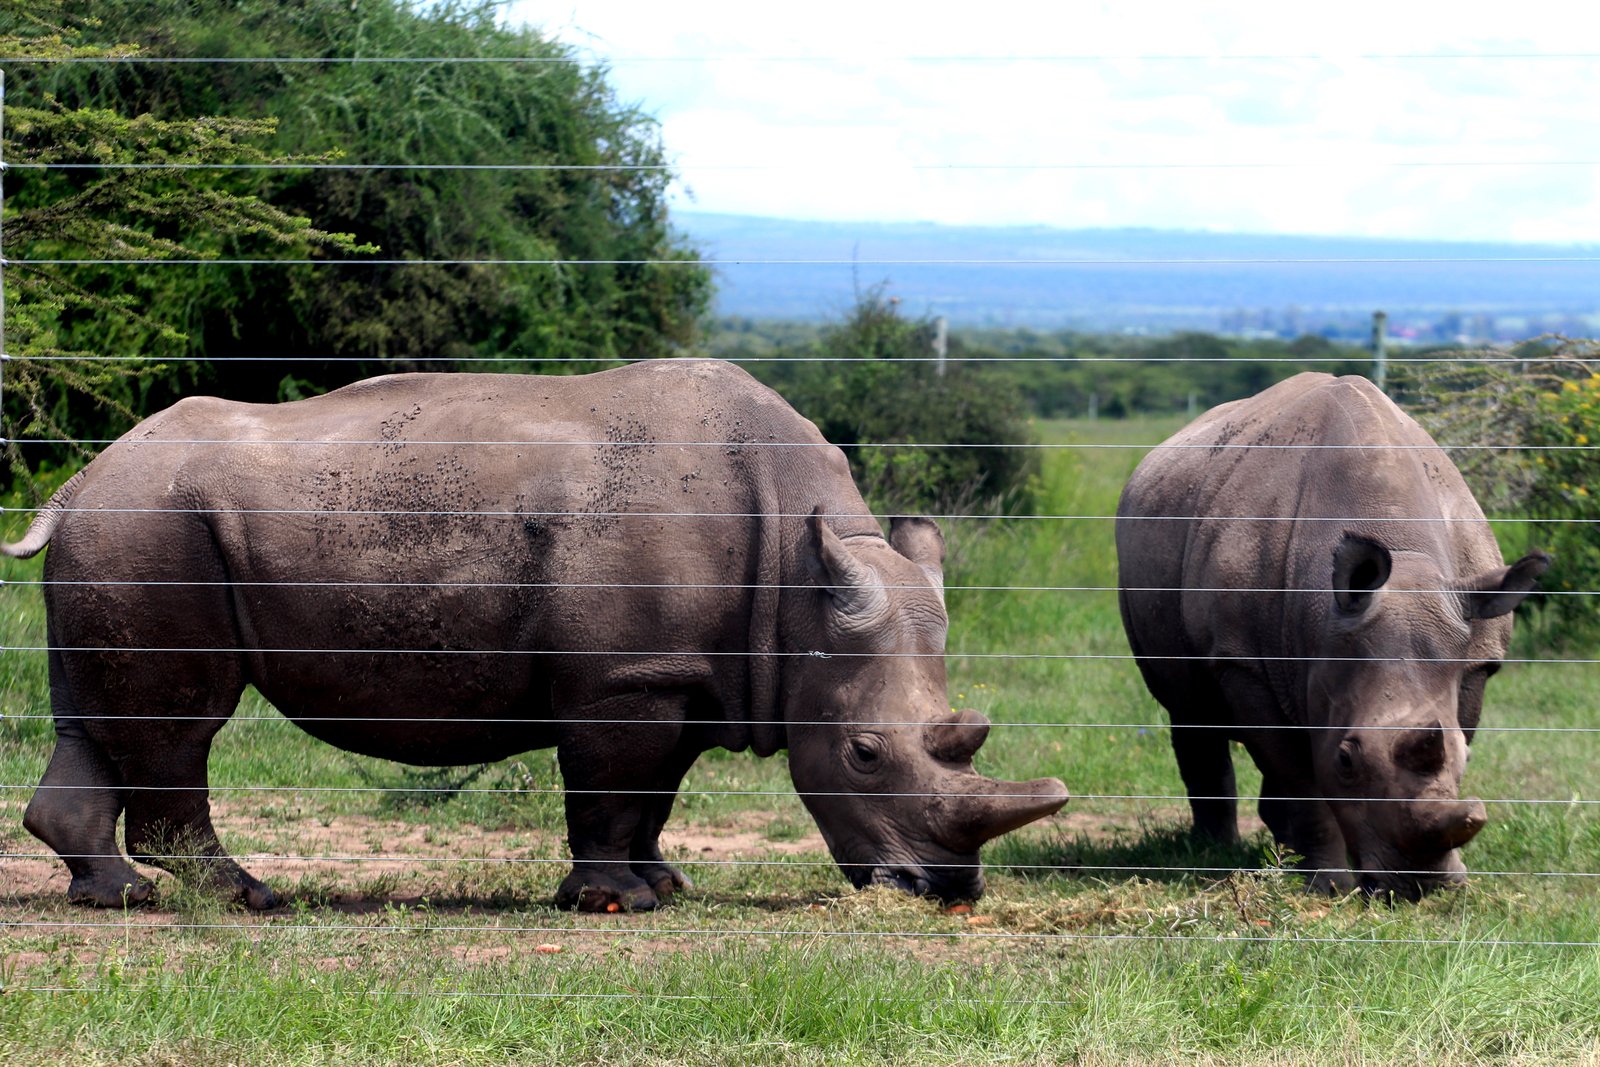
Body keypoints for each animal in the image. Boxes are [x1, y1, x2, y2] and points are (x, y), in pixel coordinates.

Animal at [6, 359, 1068, 912]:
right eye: (861, 753)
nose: (941, 890)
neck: (801, 586)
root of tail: (79, 479)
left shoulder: (681, 671)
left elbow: (653, 790)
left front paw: (663, 883)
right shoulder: (626, 677)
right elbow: (609, 783)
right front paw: (614, 902)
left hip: (127, 521)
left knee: (104, 718)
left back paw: (115, 895)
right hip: (154, 521)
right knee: (183, 722)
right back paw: (242, 899)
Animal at [1116, 373, 1547, 899]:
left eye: (1468, 761)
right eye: (1346, 759)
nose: (1418, 887)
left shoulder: (1476, 657)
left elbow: (1450, 735)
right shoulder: (1244, 661)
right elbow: (1300, 776)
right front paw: (1329, 888)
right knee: (1190, 708)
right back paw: (1214, 851)